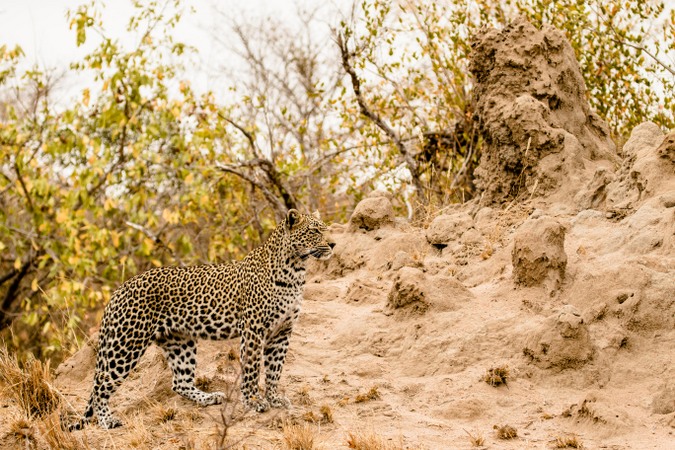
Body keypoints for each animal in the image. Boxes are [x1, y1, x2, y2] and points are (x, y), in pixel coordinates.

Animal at [68, 209, 332, 430]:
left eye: (326, 228)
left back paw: (209, 398)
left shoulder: (282, 331)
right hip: (127, 344)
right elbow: (252, 368)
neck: (295, 270)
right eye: (314, 230)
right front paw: (253, 401)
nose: (333, 243)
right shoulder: (254, 329)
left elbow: (275, 369)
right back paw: (107, 420)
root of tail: (118, 290)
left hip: (179, 341)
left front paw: (275, 398)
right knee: (101, 384)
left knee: (179, 382)